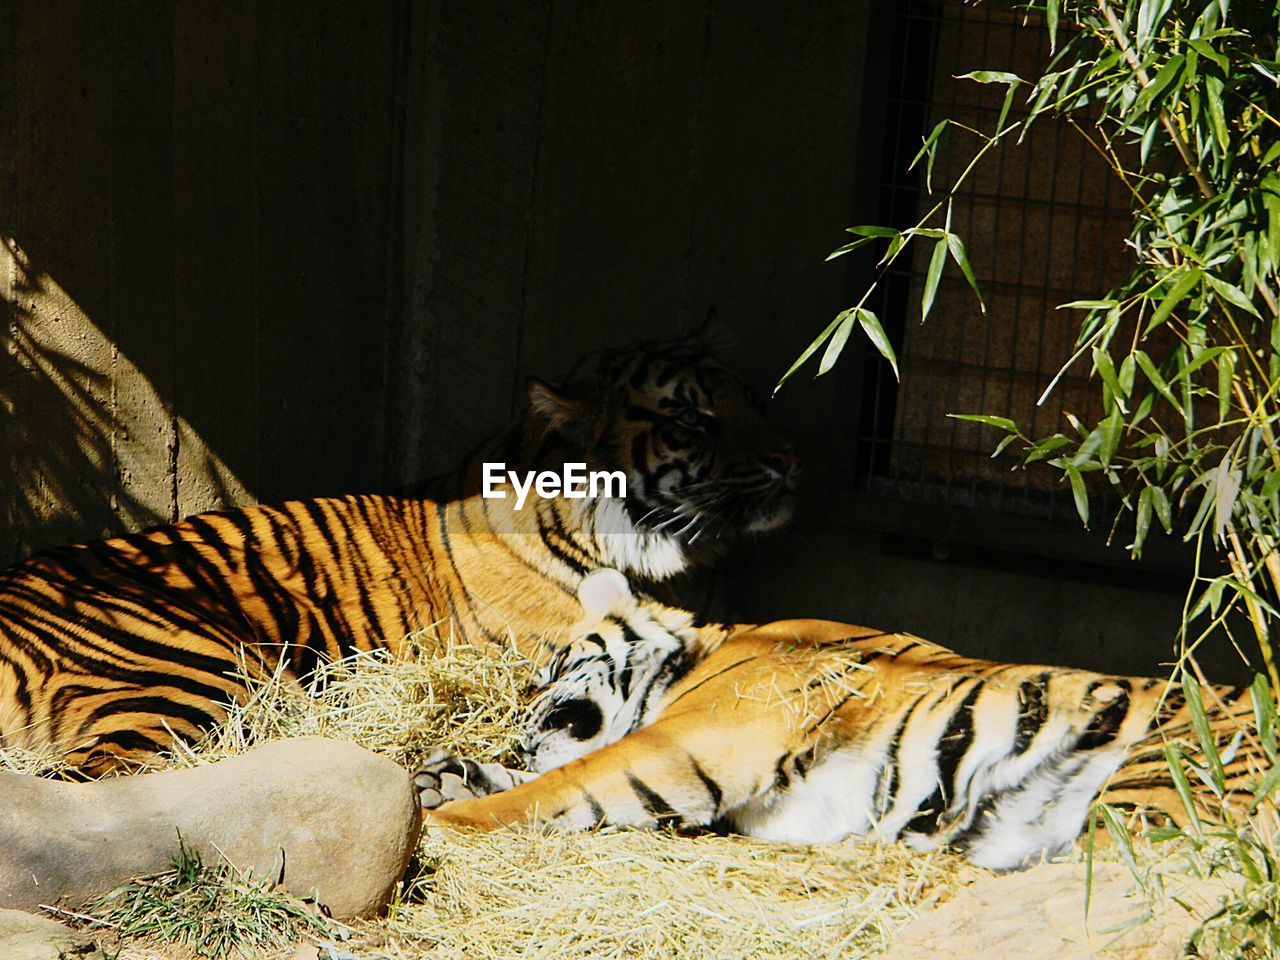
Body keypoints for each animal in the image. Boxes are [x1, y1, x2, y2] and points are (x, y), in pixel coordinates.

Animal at [417, 576, 1259, 875]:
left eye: (545, 669)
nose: (518, 718)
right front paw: (438, 776)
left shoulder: (682, 745)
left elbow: (550, 786)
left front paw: (443, 819)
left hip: (1155, 782)